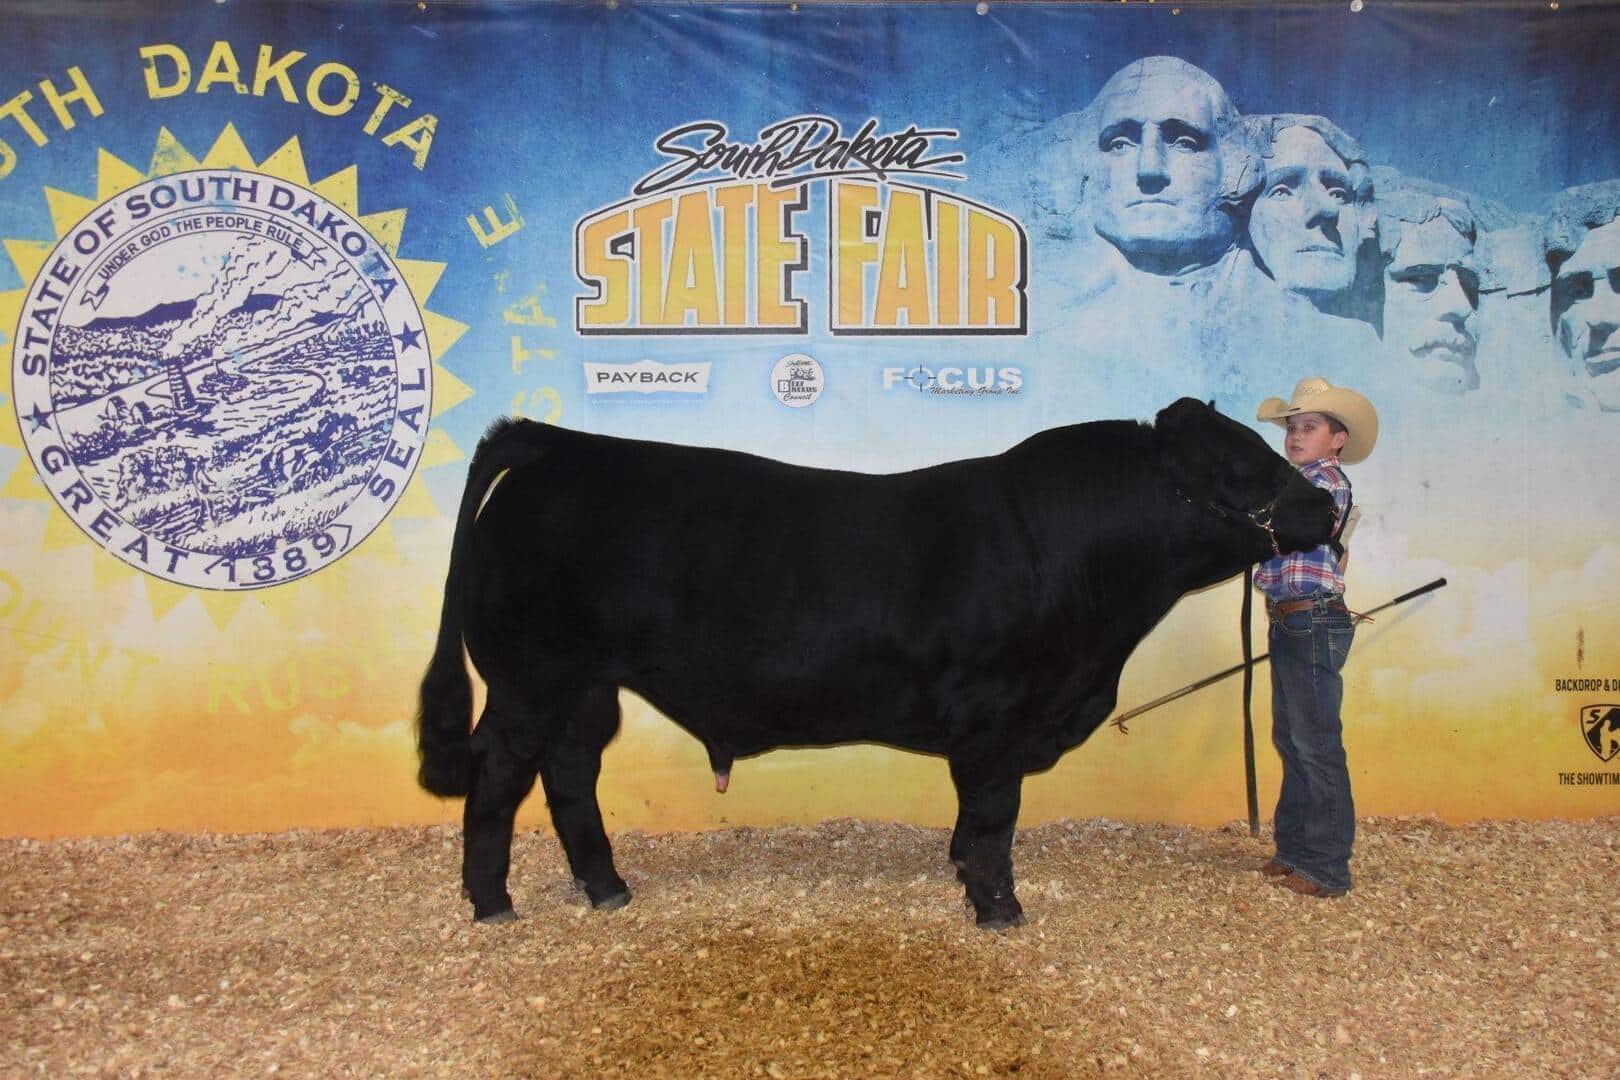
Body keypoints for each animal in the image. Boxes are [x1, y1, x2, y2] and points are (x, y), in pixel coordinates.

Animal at [416, 398, 1337, 928]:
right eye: (1241, 466)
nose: (1328, 507)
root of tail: (560, 446)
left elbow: (973, 821)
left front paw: (964, 876)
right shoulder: (998, 717)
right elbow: (996, 815)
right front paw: (1000, 909)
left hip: (585, 686)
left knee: (570, 773)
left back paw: (607, 889)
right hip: (530, 680)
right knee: (499, 779)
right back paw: (493, 905)